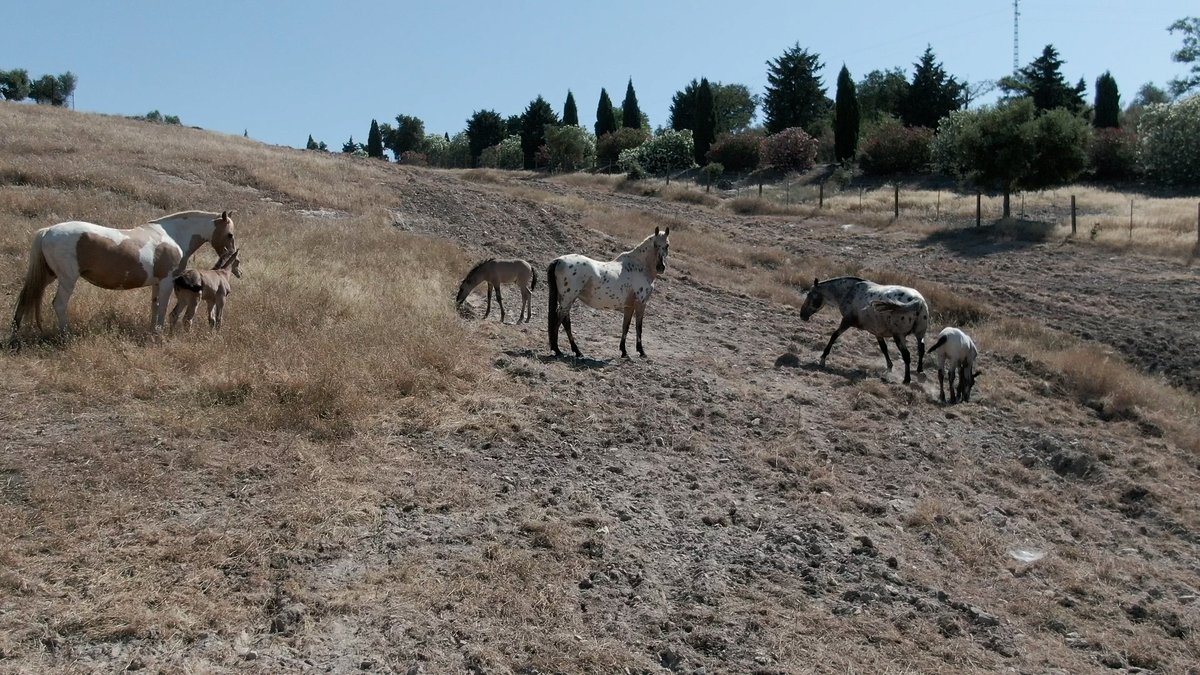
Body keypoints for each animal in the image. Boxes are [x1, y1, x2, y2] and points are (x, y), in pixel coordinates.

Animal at [11, 210, 237, 336]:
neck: (172, 235)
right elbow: (163, 308)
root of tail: (48, 231)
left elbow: (155, 307)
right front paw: (159, 332)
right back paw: (66, 334)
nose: (231, 255)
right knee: (59, 304)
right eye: (230, 234)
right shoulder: (166, 282)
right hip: (67, 279)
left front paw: (152, 331)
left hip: (48, 276)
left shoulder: (157, 284)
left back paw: (16, 329)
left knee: (26, 297)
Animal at [546, 226, 670, 359]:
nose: (661, 267)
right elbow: (638, 327)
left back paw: (577, 351)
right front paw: (641, 351)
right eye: (655, 244)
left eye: (667, 245)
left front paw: (624, 351)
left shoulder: (629, 305)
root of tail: (559, 260)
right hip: (568, 299)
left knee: (565, 321)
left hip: (567, 299)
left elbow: (625, 326)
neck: (640, 267)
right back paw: (558, 350)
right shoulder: (641, 303)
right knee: (560, 320)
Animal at [799, 276, 928, 384]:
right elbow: (884, 349)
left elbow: (834, 336)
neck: (850, 291)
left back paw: (907, 380)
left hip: (899, 336)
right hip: (920, 334)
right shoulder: (877, 332)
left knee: (907, 355)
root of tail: (918, 301)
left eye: (809, 295)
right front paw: (889, 368)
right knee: (921, 349)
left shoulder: (847, 321)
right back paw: (920, 372)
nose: (802, 315)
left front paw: (822, 359)